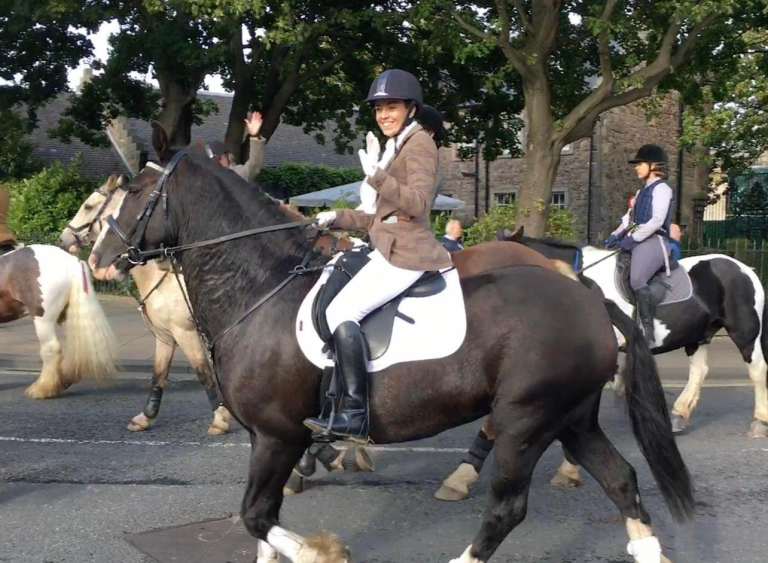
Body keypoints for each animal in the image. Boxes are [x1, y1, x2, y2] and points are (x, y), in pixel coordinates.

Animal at [59, 174, 231, 435]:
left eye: (88, 206)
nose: (63, 238)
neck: (164, 278)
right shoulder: (165, 335)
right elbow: (158, 374)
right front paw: (146, 416)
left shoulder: (186, 332)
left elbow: (203, 371)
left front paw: (221, 418)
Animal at [88, 128, 693, 563]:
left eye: (134, 193)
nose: (98, 259)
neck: (260, 288)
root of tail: (587, 295)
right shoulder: (270, 437)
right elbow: (262, 523)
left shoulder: (278, 434)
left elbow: (257, 516)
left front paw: (323, 551)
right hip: (570, 417)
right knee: (621, 481)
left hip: (525, 421)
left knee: (507, 508)